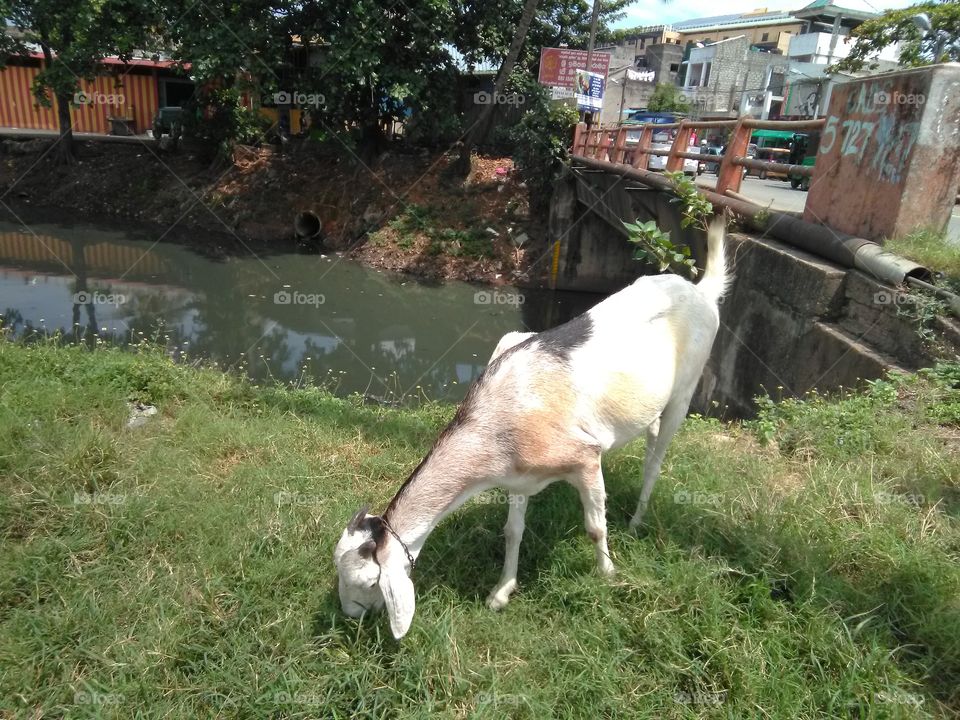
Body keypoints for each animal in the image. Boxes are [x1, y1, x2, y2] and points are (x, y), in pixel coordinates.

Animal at [336, 218, 728, 636]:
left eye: (368, 583)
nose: (350, 616)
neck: (497, 421)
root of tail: (701, 291)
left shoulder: (585, 456)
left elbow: (595, 527)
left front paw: (608, 574)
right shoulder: (517, 477)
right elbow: (513, 532)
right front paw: (501, 593)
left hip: (685, 390)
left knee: (656, 460)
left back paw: (637, 522)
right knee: (651, 434)